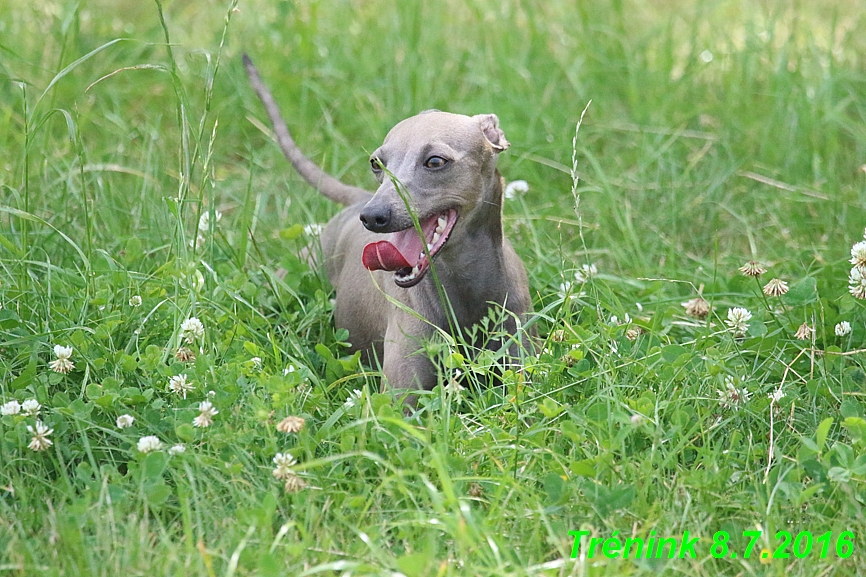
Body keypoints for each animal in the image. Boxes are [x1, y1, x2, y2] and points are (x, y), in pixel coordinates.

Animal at [243, 57, 532, 400]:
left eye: (435, 161)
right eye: (376, 163)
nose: (372, 216)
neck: (462, 288)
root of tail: (357, 199)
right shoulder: (401, 398)